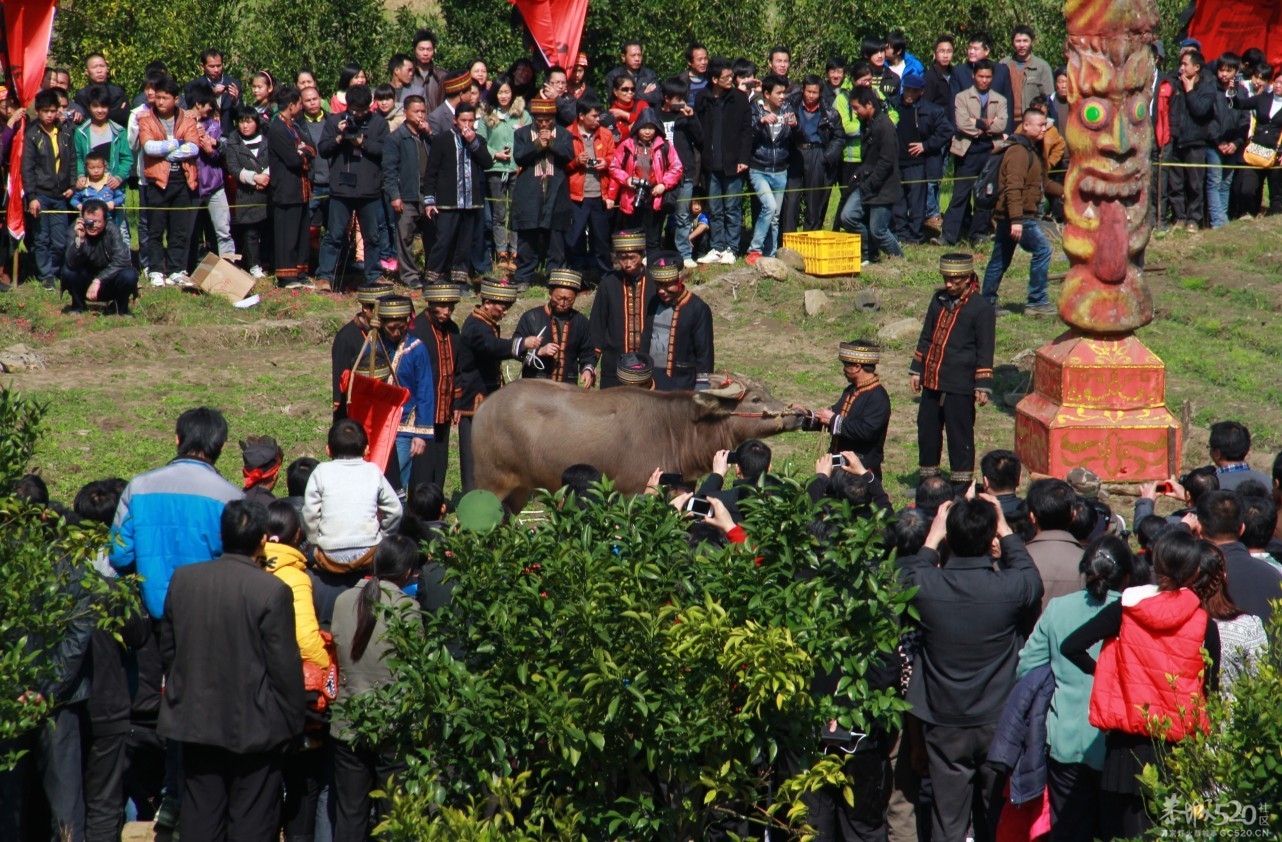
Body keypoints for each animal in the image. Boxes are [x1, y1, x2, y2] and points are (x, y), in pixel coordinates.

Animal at [474, 376, 799, 510]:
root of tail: (484, 408)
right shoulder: (632, 491)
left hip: (520, 490)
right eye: (755, 399)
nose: (798, 413)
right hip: (489, 483)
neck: (676, 428)